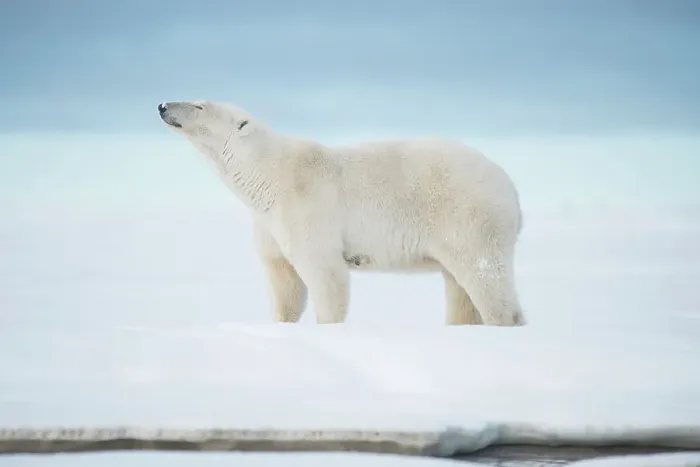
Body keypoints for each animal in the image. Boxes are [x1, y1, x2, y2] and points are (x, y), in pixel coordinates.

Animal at [157, 100, 526, 326]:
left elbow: (325, 274)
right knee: (460, 290)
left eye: (199, 104)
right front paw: (280, 324)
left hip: (469, 218)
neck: (268, 174)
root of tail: (511, 189)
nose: (162, 105)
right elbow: (284, 280)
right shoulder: (269, 225)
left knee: (483, 278)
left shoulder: (306, 209)